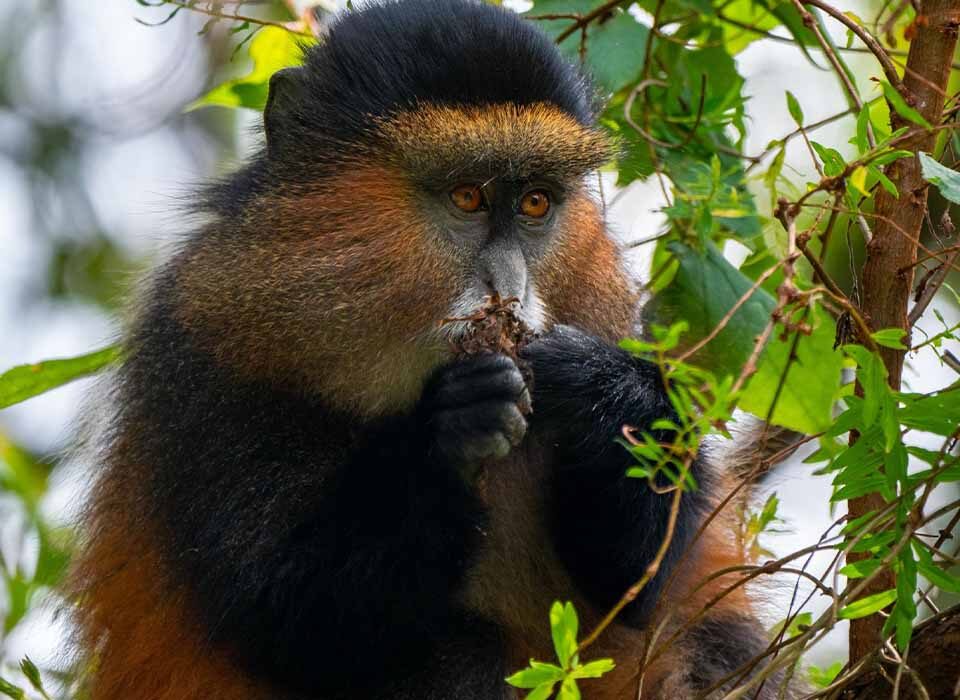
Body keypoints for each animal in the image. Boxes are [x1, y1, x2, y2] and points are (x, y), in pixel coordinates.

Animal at [69, 2, 796, 699]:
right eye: (467, 196)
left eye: (536, 203)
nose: (510, 287)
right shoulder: (199, 342)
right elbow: (288, 617)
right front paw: (454, 427)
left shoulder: (616, 314)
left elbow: (639, 581)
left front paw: (602, 389)